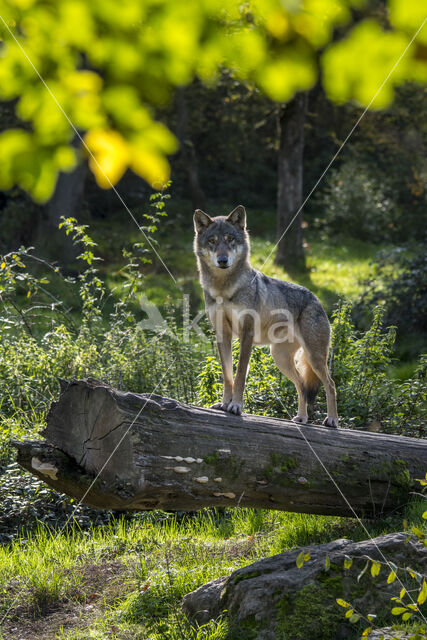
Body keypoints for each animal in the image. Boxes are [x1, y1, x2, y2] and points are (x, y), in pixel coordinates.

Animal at [196, 205, 340, 424]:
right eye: (212, 241)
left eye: (230, 239)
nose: (222, 260)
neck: (224, 289)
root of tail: (316, 299)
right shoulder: (223, 335)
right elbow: (227, 374)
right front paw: (224, 404)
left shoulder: (246, 334)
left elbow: (240, 374)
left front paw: (236, 406)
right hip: (280, 358)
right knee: (302, 385)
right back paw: (301, 418)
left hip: (313, 358)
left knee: (330, 385)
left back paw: (332, 421)